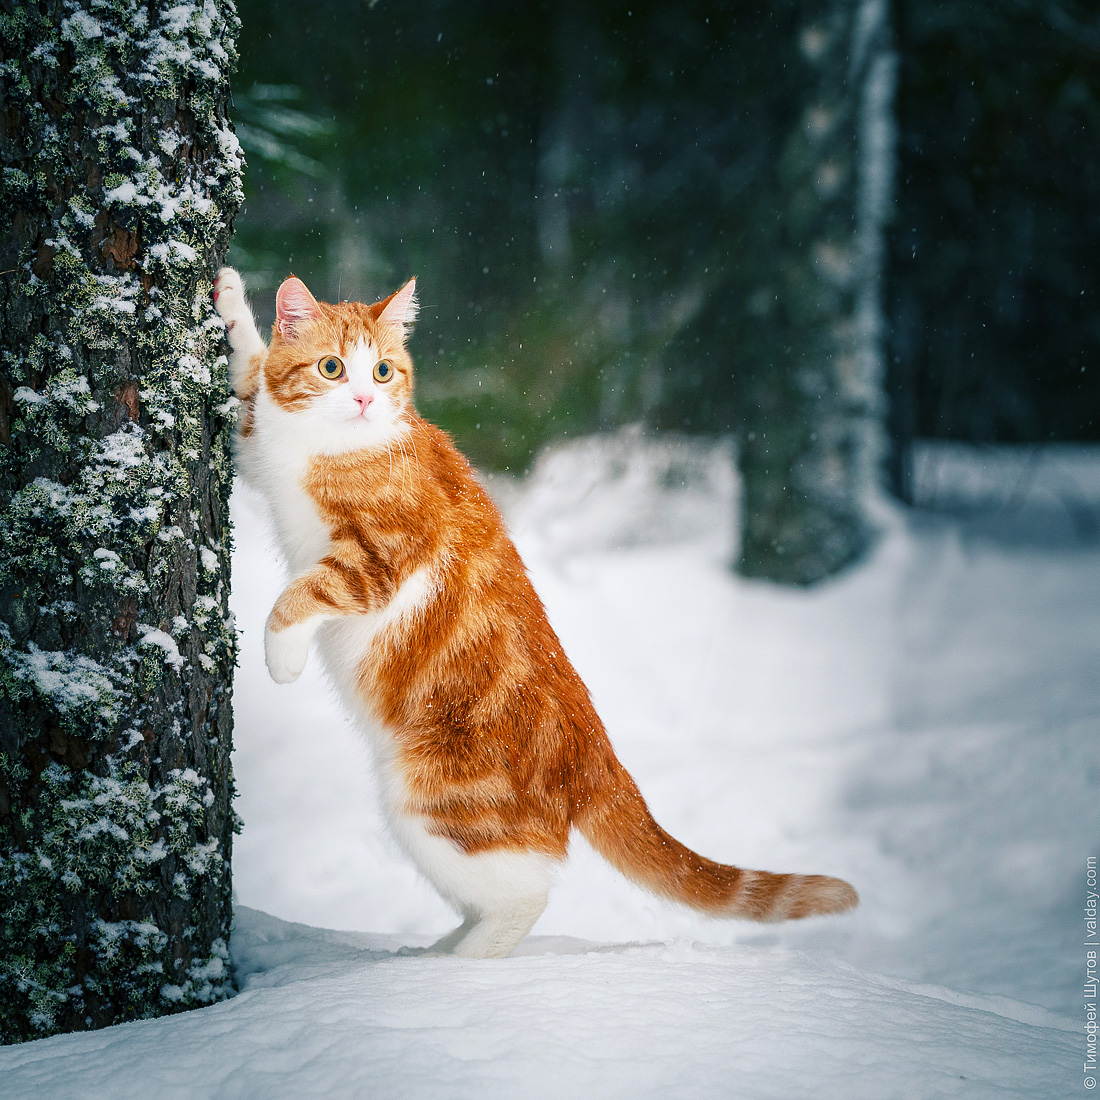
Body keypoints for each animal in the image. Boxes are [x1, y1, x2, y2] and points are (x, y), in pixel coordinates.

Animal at [210, 264, 853, 954]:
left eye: (382, 371)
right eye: (332, 367)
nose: (362, 399)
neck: (324, 446)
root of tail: (595, 750)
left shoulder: (378, 563)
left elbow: (298, 595)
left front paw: (281, 659)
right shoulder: (260, 447)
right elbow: (253, 375)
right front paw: (230, 298)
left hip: (435, 801)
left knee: (527, 894)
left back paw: (458, 964)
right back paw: (435, 952)